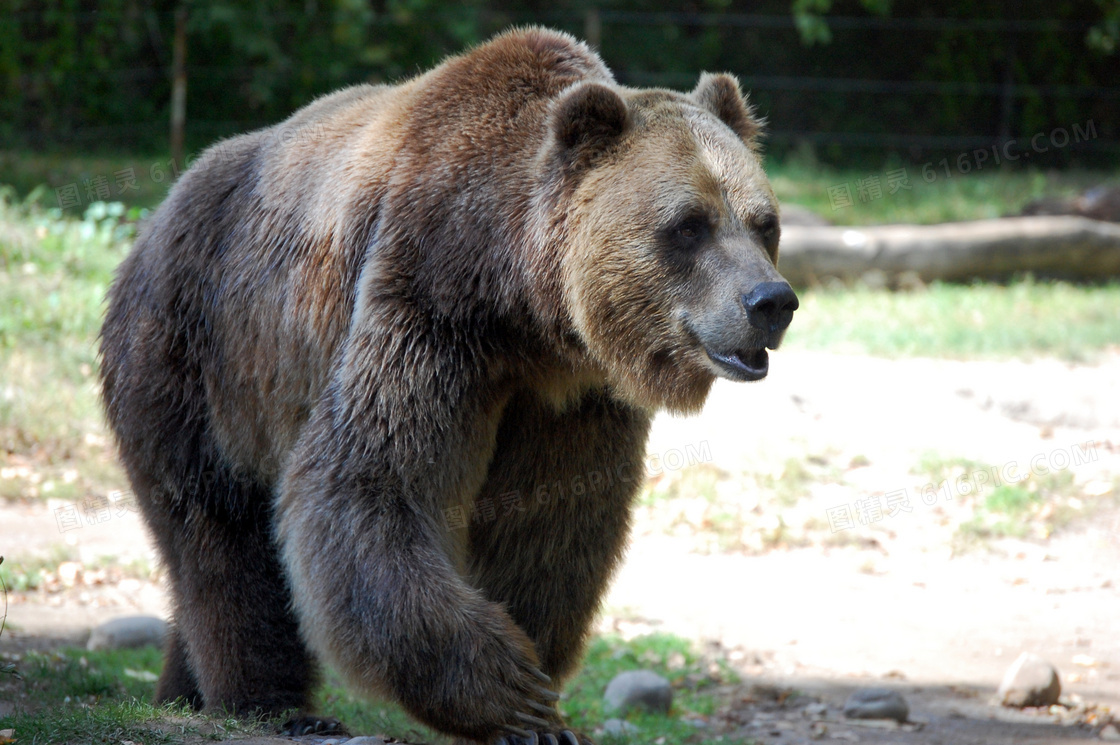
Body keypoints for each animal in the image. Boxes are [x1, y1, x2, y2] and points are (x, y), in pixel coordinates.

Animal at [98, 26, 797, 739]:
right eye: (688, 225)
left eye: (762, 222)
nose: (770, 302)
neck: (523, 309)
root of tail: (153, 219)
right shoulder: (428, 311)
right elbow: (374, 484)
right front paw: (510, 694)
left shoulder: (570, 396)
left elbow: (551, 520)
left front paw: (538, 686)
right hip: (196, 356)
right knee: (220, 531)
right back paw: (269, 704)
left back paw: (181, 692)